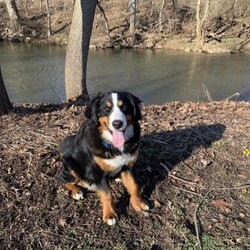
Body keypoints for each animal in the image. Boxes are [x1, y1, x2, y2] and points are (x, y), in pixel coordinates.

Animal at [58, 91, 148, 226]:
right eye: (106, 108)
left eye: (124, 107)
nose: (117, 124)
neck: (114, 145)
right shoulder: (98, 172)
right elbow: (106, 195)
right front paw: (109, 215)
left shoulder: (127, 166)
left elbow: (134, 186)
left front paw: (138, 204)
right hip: (70, 163)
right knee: (67, 180)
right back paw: (77, 191)